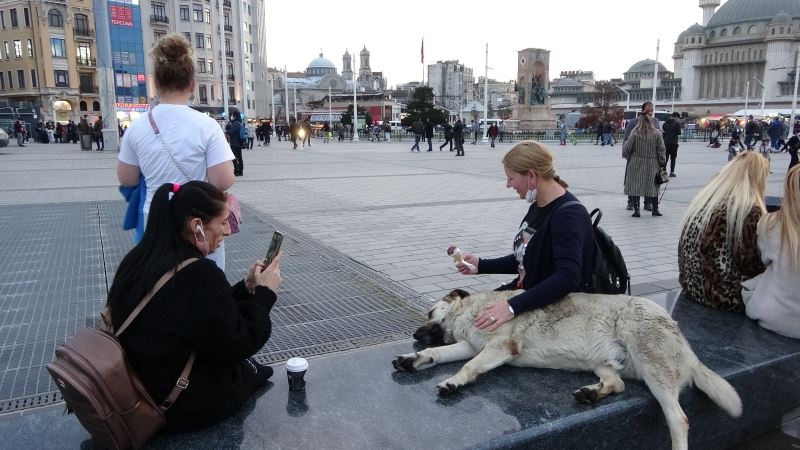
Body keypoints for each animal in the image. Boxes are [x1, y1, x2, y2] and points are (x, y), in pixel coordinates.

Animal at [394, 288, 744, 450]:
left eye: (429, 312)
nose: (414, 334)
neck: (473, 309)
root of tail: (683, 339)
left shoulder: (497, 348)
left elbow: (468, 366)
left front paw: (453, 382)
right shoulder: (470, 345)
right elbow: (438, 353)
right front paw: (414, 359)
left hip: (652, 364)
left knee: (679, 419)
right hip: (603, 363)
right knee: (617, 384)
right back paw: (591, 394)